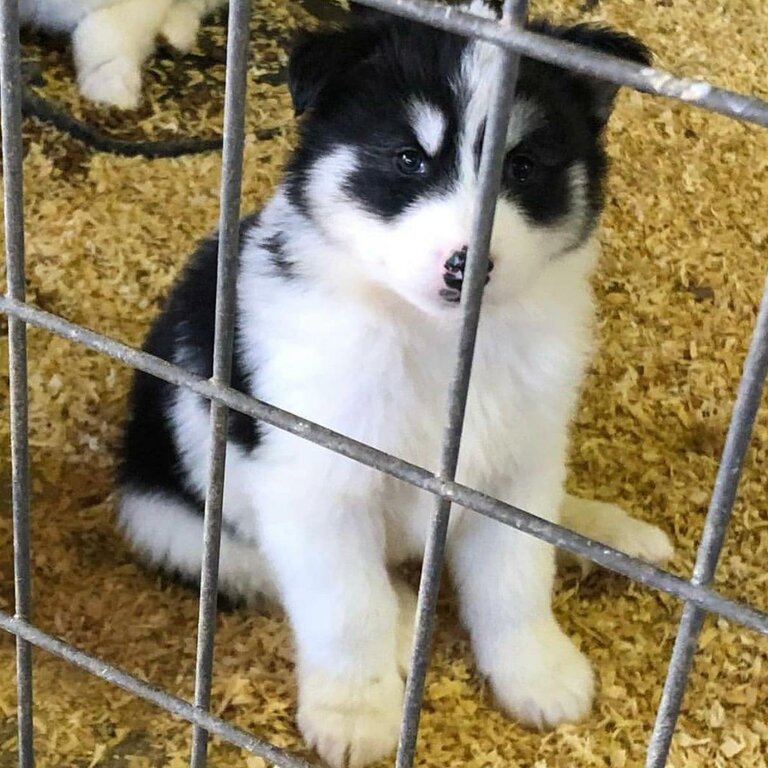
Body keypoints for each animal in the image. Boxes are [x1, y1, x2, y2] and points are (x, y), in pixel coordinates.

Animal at [118, 4, 672, 760]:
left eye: (523, 166)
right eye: (409, 159)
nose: (466, 268)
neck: (435, 342)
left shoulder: (517, 468)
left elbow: (517, 573)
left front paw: (538, 669)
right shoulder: (315, 482)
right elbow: (346, 607)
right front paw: (353, 711)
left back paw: (605, 532)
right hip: (169, 516)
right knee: (265, 567)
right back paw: (405, 617)